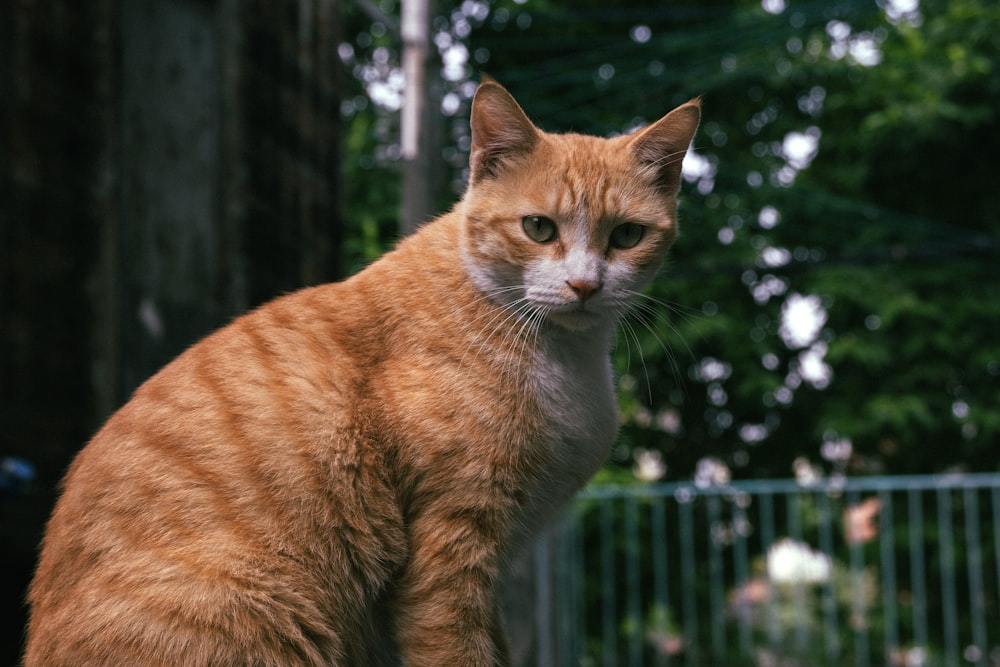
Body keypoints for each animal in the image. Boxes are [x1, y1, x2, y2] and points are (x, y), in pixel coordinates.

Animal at [23, 81, 696, 664]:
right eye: (538, 228)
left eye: (627, 236)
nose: (584, 286)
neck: (561, 355)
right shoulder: (450, 548)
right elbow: (457, 651)